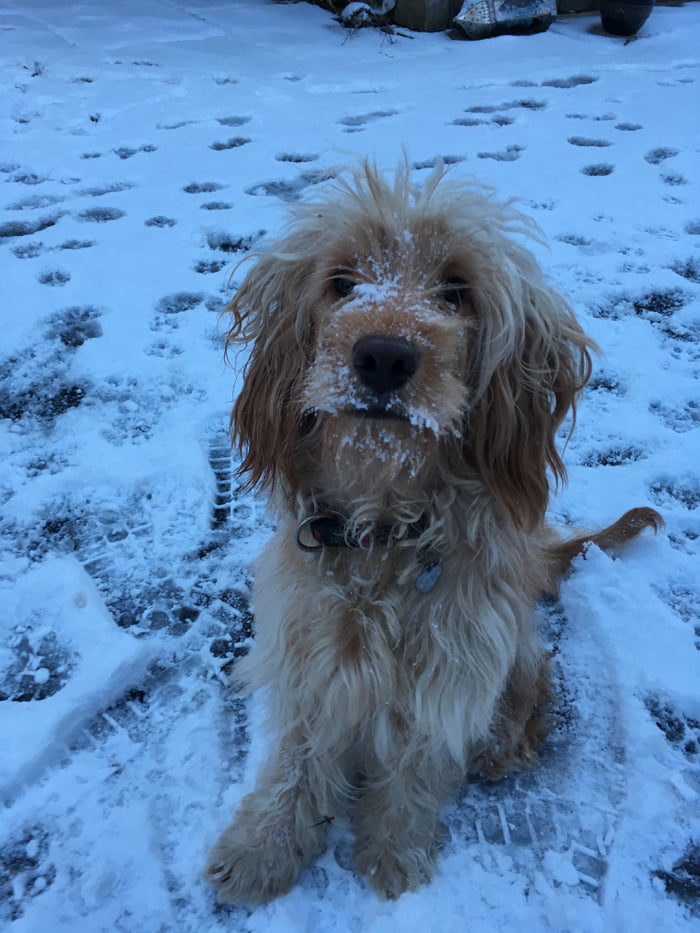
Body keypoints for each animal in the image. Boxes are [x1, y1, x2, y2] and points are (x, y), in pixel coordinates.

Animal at [205, 160, 664, 904]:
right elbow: (298, 756)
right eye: (342, 281)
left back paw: (504, 745)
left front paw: (395, 855)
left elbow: (416, 764)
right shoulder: (306, 646)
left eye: (456, 291)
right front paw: (263, 846)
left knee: (532, 693)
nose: (384, 357)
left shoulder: (453, 662)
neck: (381, 528)